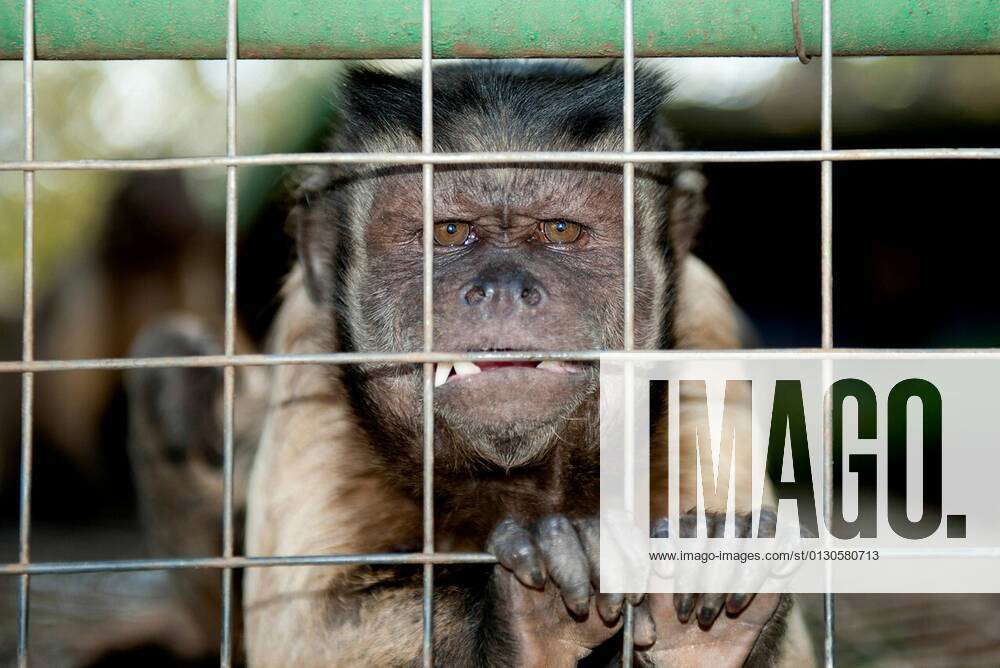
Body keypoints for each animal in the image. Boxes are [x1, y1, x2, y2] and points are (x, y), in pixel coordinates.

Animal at [236, 60, 820, 664]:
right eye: (450, 231)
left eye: (560, 229)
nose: (502, 287)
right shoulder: (306, 349)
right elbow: (313, 628)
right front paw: (531, 616)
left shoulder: (704, 329)